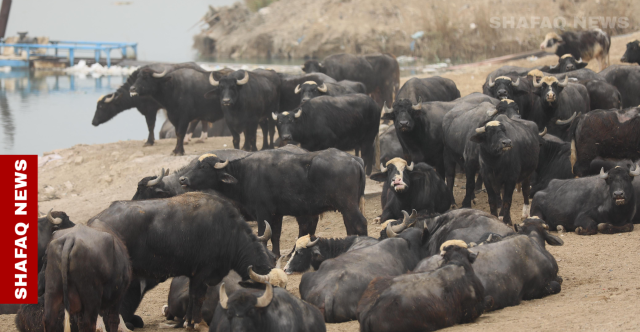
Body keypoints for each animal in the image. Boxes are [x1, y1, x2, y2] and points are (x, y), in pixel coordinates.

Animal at [87, 192, 280, 330]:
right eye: (264, 288)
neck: (229, 234)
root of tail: (94, 222)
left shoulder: (194, 275)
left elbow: (193, 297)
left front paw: (189, 321)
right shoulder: (203, 273)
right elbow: (198, 297)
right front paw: (196, 322)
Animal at [180, 149, 368, 255]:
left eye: (204, 167)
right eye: (195, 164)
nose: (182, 179)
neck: (244, 174)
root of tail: (355, 160)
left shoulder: (262, 212)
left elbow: (263, 234)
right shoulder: (277, 214)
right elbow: (276, 235)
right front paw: (276, 254)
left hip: (348, 205)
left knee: (360, 224)